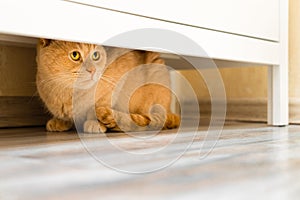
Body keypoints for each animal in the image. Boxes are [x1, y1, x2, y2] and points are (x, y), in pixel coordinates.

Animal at [36, 38, 179, 133]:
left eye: (95, 55)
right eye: (75, 55)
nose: (93, 70)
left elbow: (94, 108)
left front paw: (94, 123)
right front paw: (60, 121)